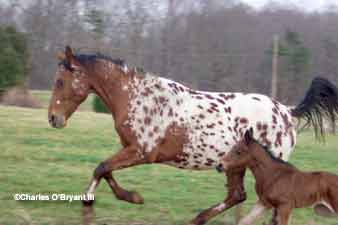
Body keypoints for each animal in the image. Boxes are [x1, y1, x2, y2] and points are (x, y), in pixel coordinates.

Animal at [48, 46, 338, 225]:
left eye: (60, 81)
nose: (53, 118)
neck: (137, 96)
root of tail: (287, 111)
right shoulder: (130, 149)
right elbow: (106, 170)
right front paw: (130, 197)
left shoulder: (141, 151)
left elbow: (101, 168)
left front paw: (94, 203)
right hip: (236, 164)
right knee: (238, 196)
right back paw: (199, 219)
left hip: (262, 164)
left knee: (257, 201)